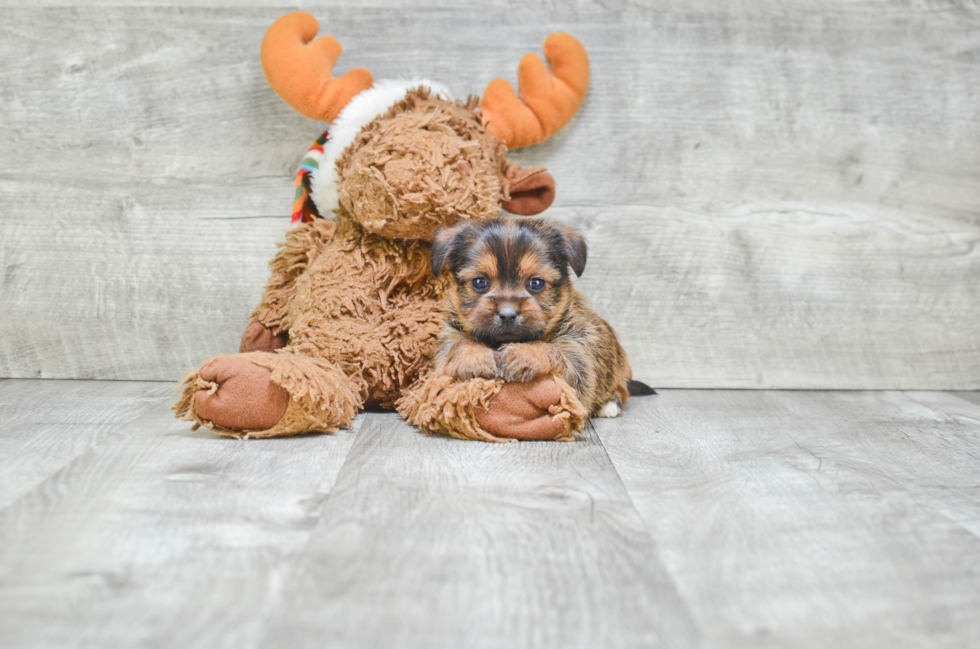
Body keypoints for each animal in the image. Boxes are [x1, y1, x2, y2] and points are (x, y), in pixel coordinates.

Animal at [428, 219, 652, 420]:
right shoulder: (447, 342)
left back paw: (610, 405)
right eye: (479, 282)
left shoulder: (578, 359)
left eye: (536, 283)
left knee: (621, 389)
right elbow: (458, 344)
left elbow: (552, 351)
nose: (507, 314)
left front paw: (525, 354)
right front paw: (474, 357)